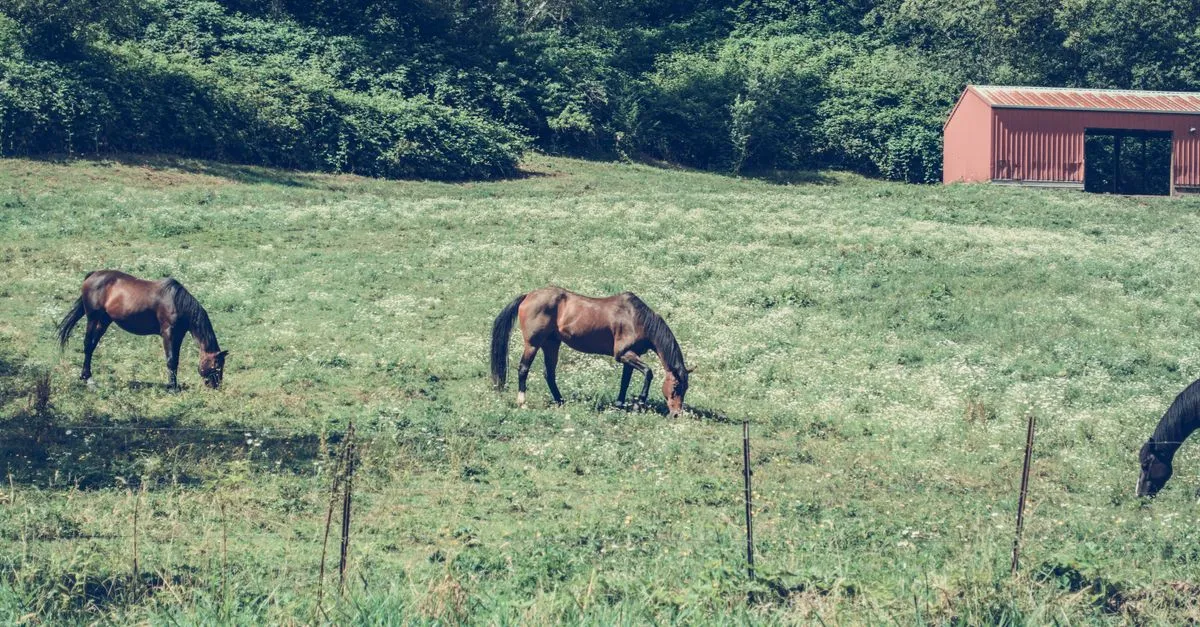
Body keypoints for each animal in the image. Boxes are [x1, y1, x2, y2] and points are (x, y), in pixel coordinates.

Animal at [57, 270, 228, 390]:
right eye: (217, 366)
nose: (217, 387)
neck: (177, 302)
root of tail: (93, 275)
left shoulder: (178, 335)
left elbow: (176, 361)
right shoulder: (168, 333)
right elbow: (171, 360)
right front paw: (172, 388)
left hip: (103, 322)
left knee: (91, 346)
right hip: (93, 319)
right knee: (87, 345)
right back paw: (88, 379)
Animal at [490, 287, 690, 415]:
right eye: (675, 387)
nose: (676, 414)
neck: (636, 318)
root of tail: (527, 296)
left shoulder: (630, 356)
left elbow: (625, 381)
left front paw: (620, 404)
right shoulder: (623, 355)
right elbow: (649, 372)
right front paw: (639, 403)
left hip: (551, 344)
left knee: (549, 374)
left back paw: (560, 401)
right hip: (532, 344)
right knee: (523, 369)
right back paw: (522, 402)